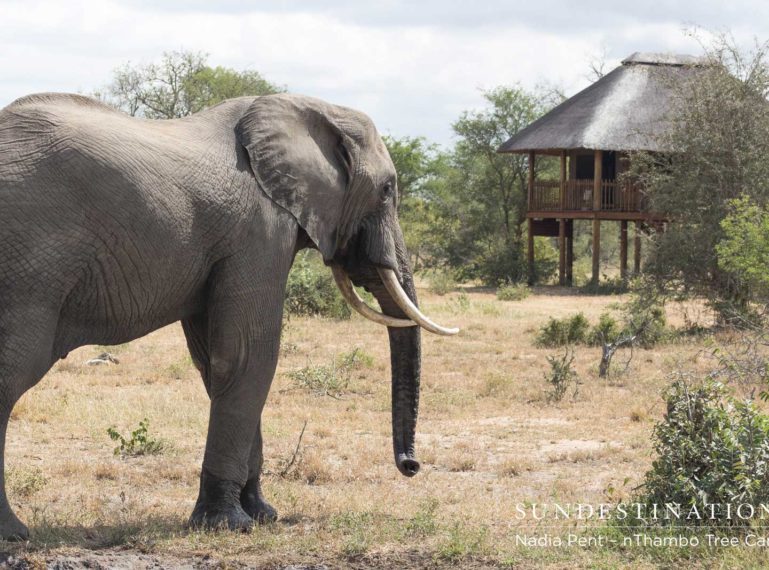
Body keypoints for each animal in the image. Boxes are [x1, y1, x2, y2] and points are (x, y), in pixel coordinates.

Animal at [0, 91, 456, 536]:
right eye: (387, 189)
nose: (411, 466)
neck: (307, 106)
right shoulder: (259, 232)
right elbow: (247, 356)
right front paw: (230, 524)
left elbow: (214, 364)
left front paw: (262, 513)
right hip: (31, 269)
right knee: (14, 374)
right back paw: (15, 534)